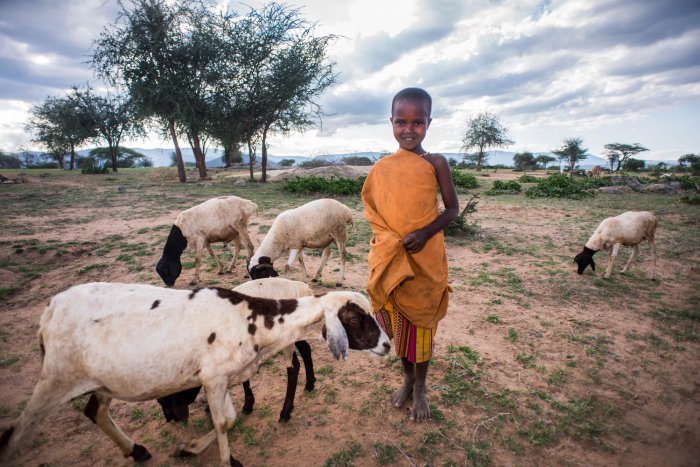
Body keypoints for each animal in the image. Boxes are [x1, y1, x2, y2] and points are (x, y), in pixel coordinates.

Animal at [156, 278, 318, 424]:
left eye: (165, 399)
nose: (170, 419)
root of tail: (303, 289)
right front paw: (247, 404)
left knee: (293, 367)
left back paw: (285, 412)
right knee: (306, 350)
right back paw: (310, 384)